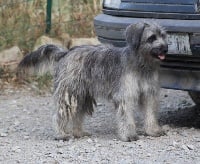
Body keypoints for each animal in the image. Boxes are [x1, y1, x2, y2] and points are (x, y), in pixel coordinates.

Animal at [19, 21, 169, 142]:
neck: (141, 64)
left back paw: (79, 132)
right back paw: (61, 134)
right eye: (151, 38)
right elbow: (126, 117)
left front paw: (152, 131)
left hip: (82, 95)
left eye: (163, 36)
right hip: (69, 94)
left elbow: (150, 114)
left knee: (77, 116)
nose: (165, 48)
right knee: (59, 115)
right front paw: (129, 135)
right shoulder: (125, 95)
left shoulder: (149, 94)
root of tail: (66, 53)